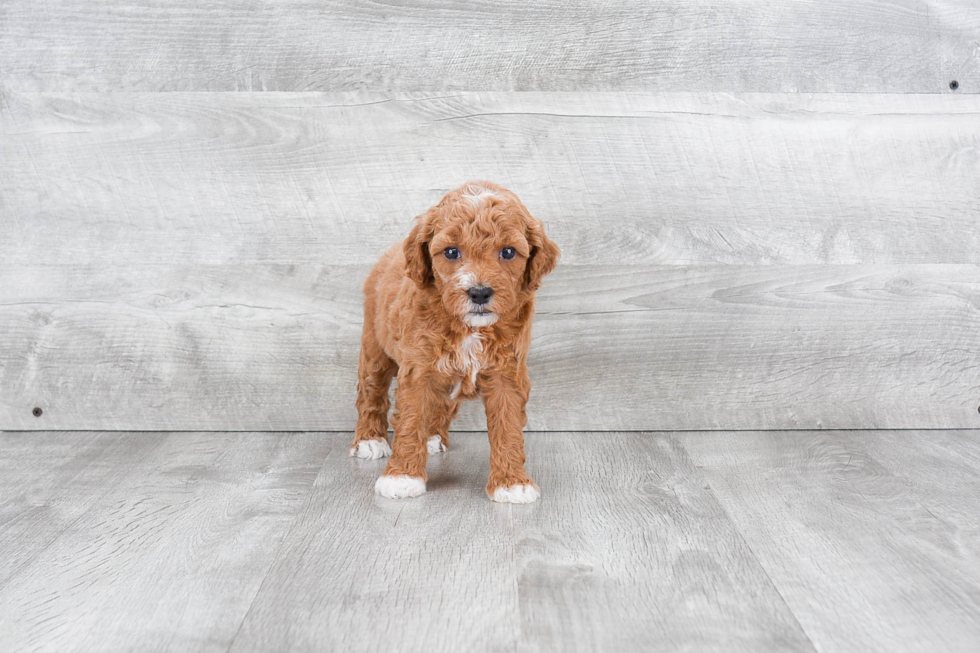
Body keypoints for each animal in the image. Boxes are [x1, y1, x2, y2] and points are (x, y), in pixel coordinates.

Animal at [352, 181, 560, 502]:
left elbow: (508, 425)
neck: (468, 327)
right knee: (371, 391)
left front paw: (511, 482)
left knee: (442, 404)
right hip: (374, 345)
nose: (479, 292)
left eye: (508, 252)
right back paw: (369, 440)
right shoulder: (418, 367)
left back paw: (433, 437)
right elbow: (411, 418)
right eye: (451, 252)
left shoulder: (508, 372)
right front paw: (402, 477)